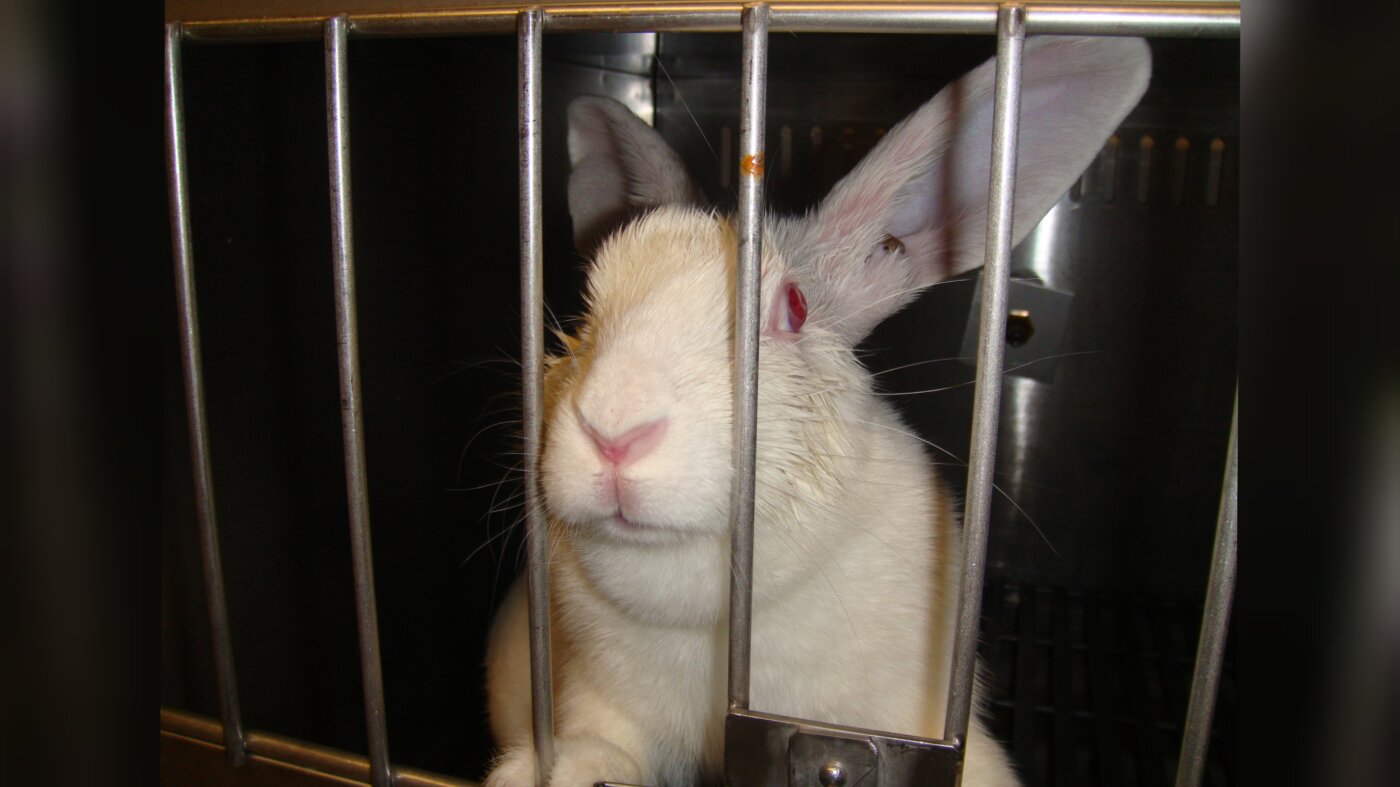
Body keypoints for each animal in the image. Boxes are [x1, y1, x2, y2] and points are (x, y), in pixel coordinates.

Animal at [483, 35, 1151, 787]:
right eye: (588, 309)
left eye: (795, 310)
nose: (614, 430)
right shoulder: (601, 697)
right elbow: (605, 742)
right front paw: (563, 771)